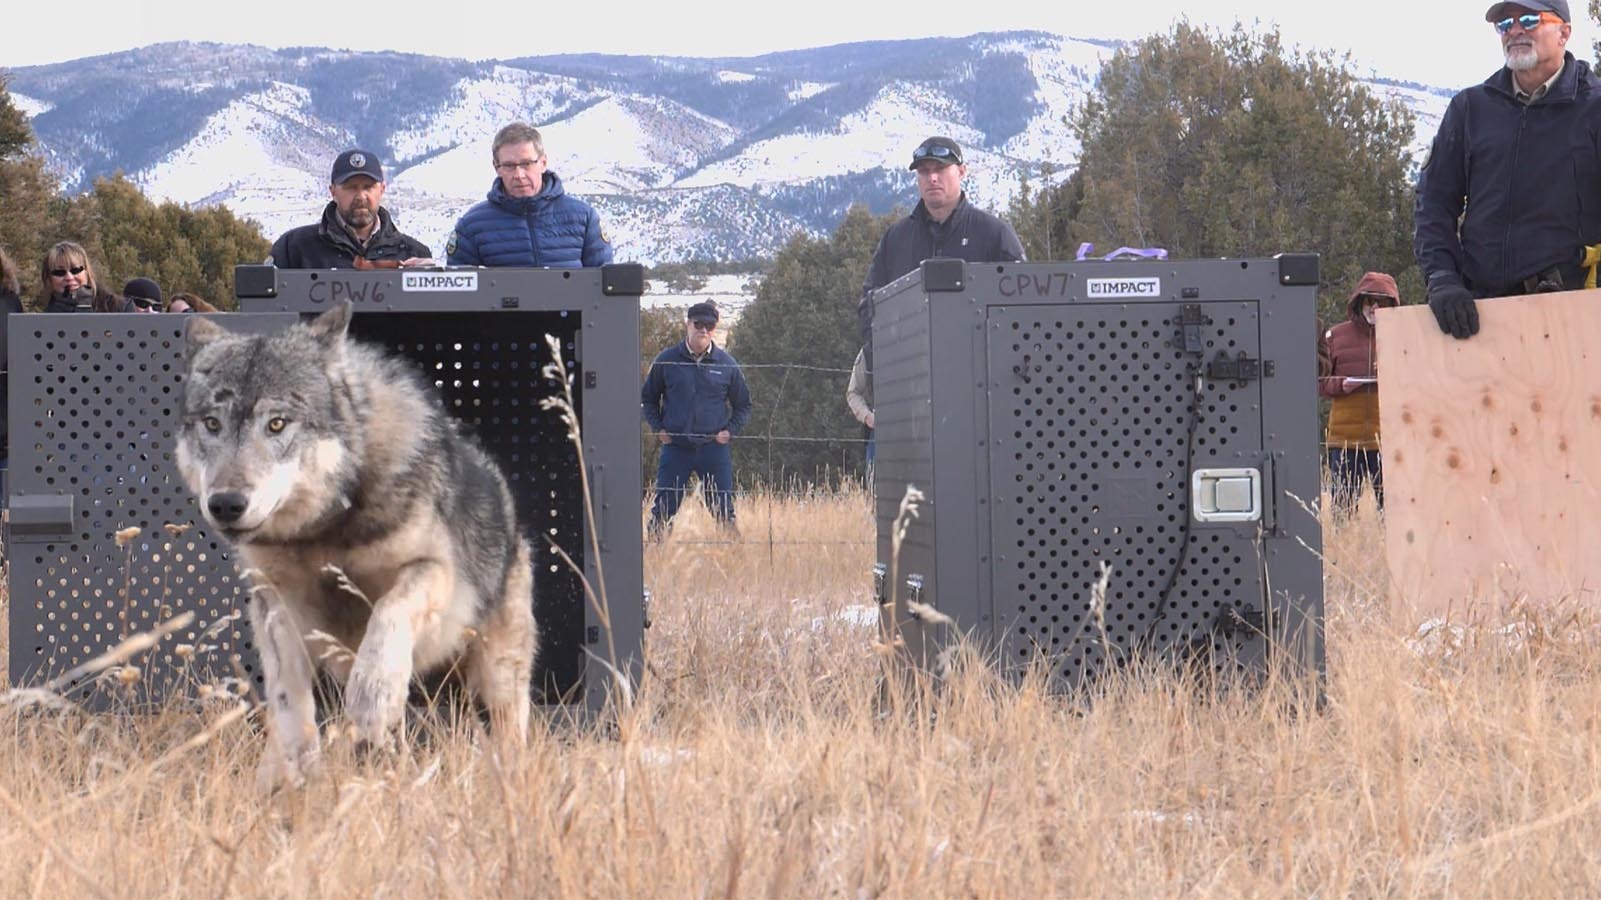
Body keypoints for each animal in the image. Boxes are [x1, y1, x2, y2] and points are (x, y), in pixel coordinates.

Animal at [178, 299, 534, 784]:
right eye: (212, 424)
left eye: (277, 424)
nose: (226, 504)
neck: (327, 531)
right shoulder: (276, 602)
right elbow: (287, 694)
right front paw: (297, 759)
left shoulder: (432, 571)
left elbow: (388, 611)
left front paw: (374, 699)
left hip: (497, 674)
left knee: (510, 727)